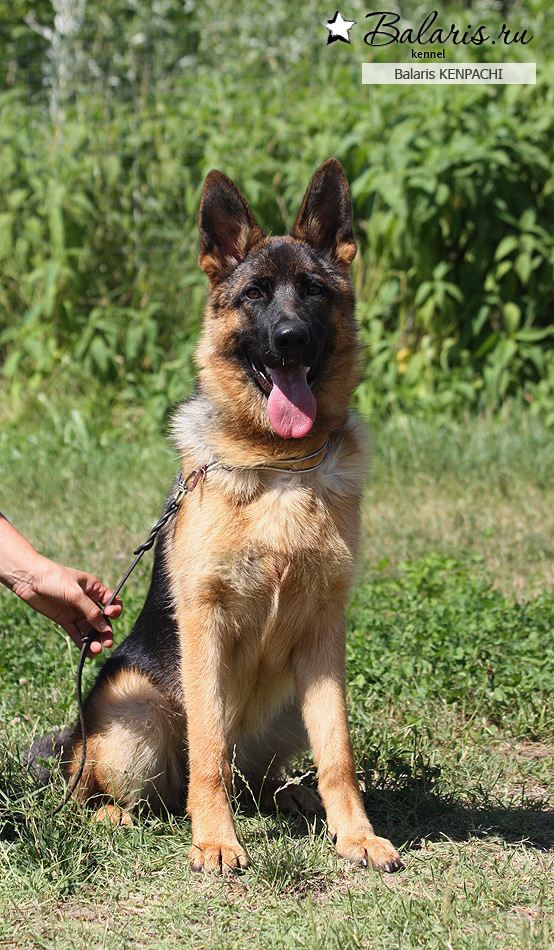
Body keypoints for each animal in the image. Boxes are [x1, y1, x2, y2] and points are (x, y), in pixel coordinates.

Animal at [49, 160, 402, 873]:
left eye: (313, 292)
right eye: (256, 294)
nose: (291, 340)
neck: (279, 464)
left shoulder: (326, 631)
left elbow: (339, 753)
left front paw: (354, 835)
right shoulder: (205, 622)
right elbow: (208, 749)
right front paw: (213, 839)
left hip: (292, 703)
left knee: (259, 778)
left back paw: (292, 798)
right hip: (136, 711)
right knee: (124, 790)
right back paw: (127, 814)